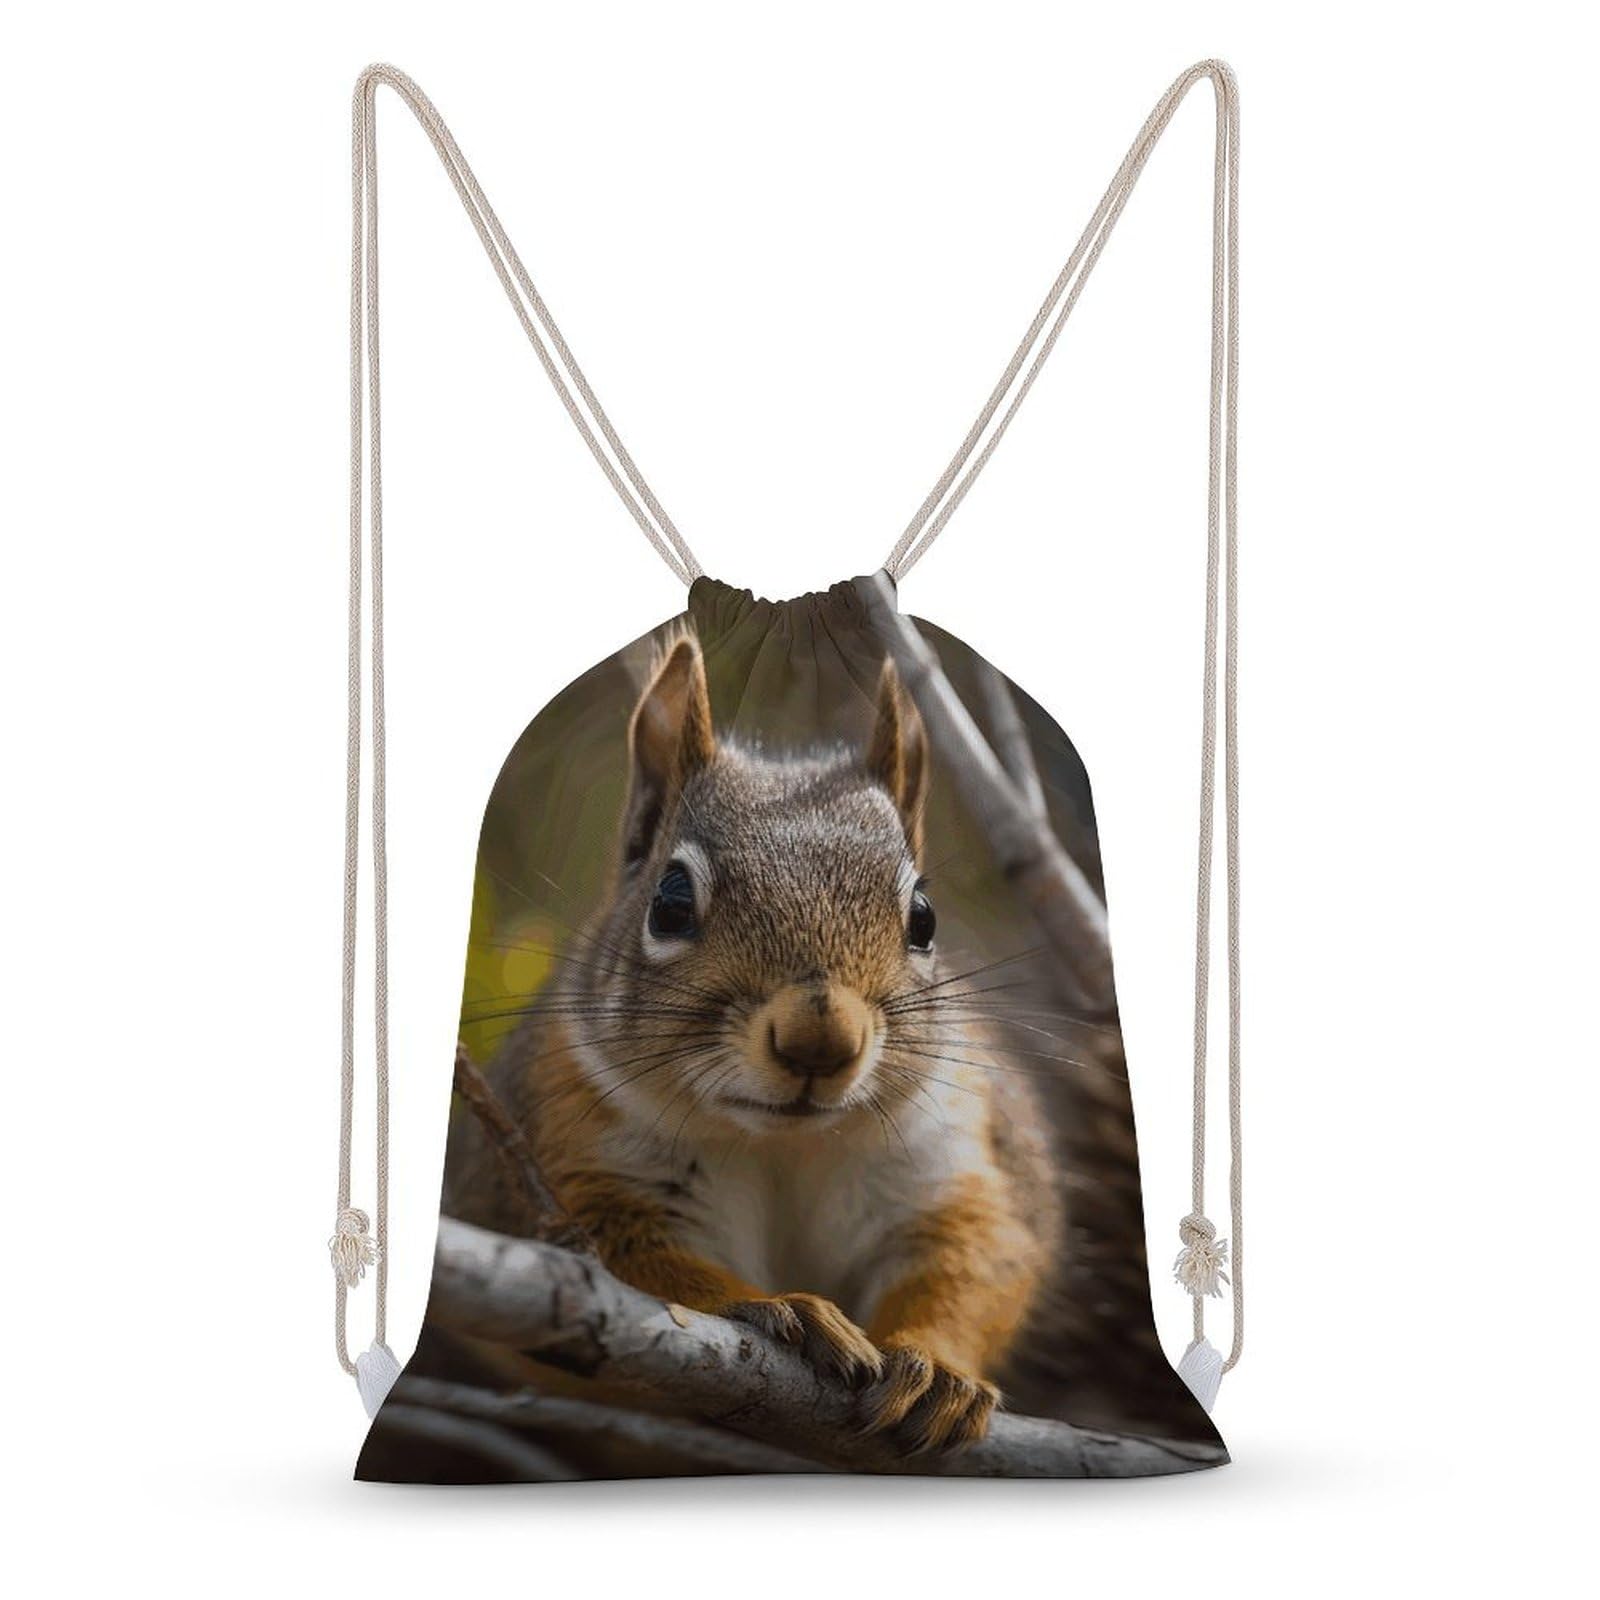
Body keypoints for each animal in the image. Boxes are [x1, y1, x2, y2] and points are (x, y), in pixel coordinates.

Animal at [462, 631, 1061, 1456]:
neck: (785, 1145)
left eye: (925, 917)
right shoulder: (575, 1149)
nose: (820, 1041)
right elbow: (641, 1266)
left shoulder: (952, 1153)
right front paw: (783, 1308)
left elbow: (976, 1259)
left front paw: (938, 1368)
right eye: (670, 902)